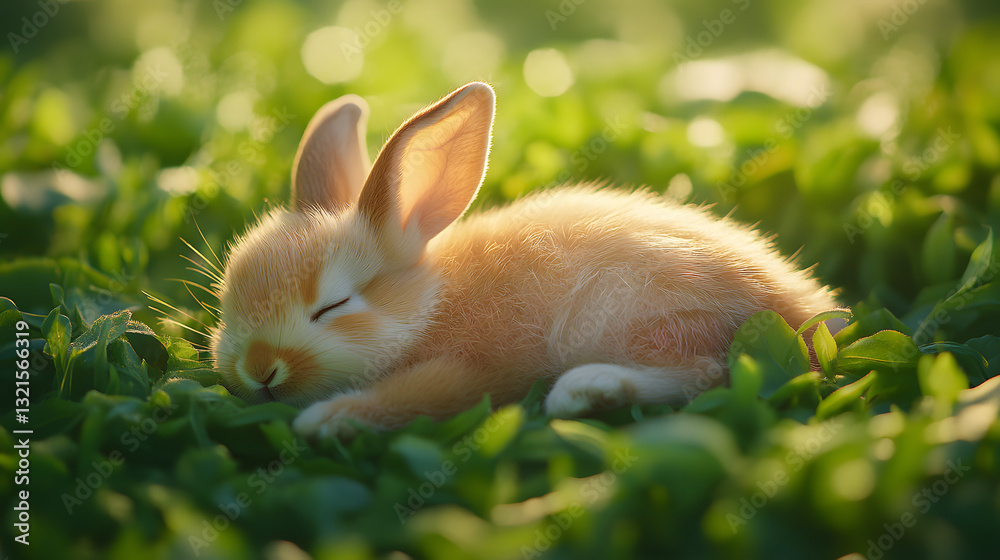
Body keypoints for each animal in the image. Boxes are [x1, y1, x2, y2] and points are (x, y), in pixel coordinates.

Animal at [208, 82, 841, 440]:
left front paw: (324, 420)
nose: (258, 370)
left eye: (332, 306)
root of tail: (806, 312)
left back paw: (584, 391)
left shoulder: (474, 367)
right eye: (226, 303)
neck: (430, 306)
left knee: (709, 373)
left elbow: (425, 396)